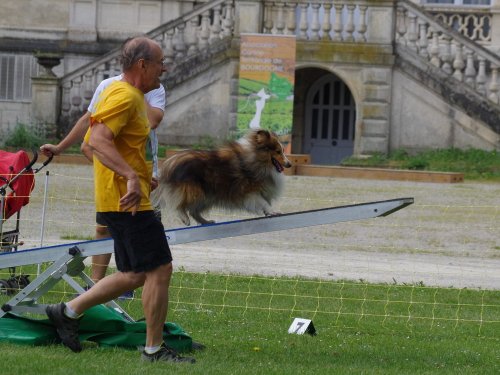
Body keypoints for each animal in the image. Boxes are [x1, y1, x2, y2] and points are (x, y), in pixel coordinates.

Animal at [154, 129, 292, 226]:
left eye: (282, 150)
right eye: (278, 151)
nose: (289, 164)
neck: (256, 159)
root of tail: (168, 163)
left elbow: (264, 203)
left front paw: (269, 212)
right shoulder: (250, 192)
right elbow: (263, 202)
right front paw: (273, 211)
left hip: (206, 196)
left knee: (194, 211)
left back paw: (206, 222)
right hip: (194, 191)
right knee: (178, 204)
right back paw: (184, 218)